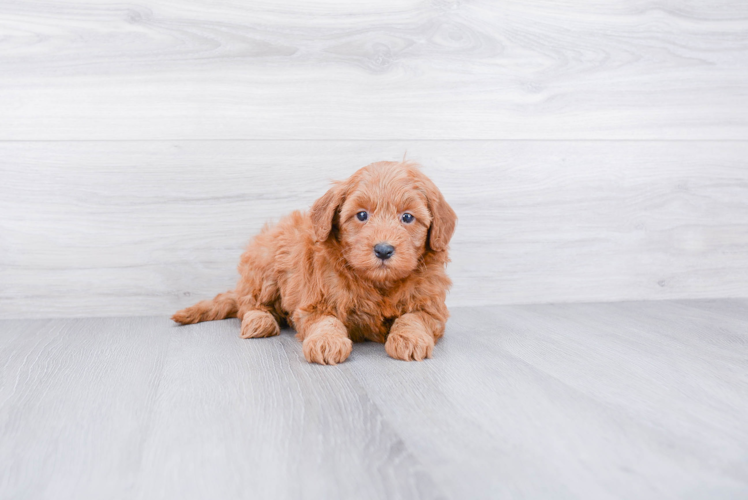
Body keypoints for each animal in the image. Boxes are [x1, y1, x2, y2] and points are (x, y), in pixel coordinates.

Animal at [172, 162, 456, 366]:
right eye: (362, 215)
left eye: (407, 217)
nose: (384, 250)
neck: (377, 283)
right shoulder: (313, 301)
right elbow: (325, 321)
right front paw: (327, 342)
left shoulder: (432, 307)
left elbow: (414, 317)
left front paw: (410, 338)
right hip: (265, 264)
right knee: (249, 304)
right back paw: (259, 321)